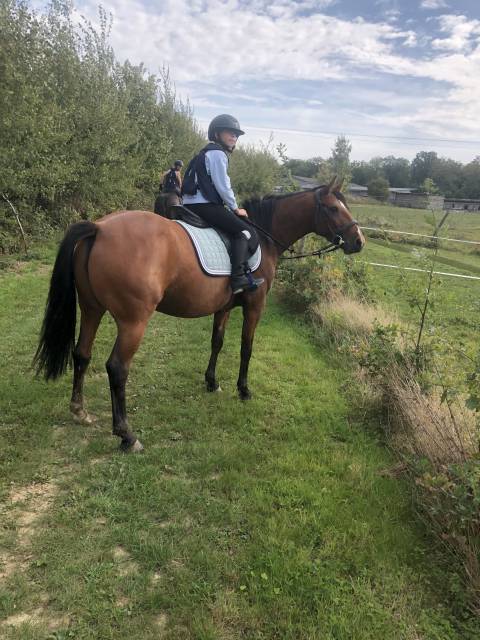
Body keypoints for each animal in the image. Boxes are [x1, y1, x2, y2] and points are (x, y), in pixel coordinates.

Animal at [34, 177, 365, 452]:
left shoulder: (223, 308)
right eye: (333, 208)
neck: (264, 236)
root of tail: (100, 228)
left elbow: (217, 342)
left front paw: (211, 382)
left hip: (92, 309)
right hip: (133, 322)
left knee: (82, 354)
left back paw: (79, 411)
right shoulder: (255, 306)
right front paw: (243, 390)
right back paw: (127, 435)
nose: (359, 241)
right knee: (117, 368)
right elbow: (246, 347)